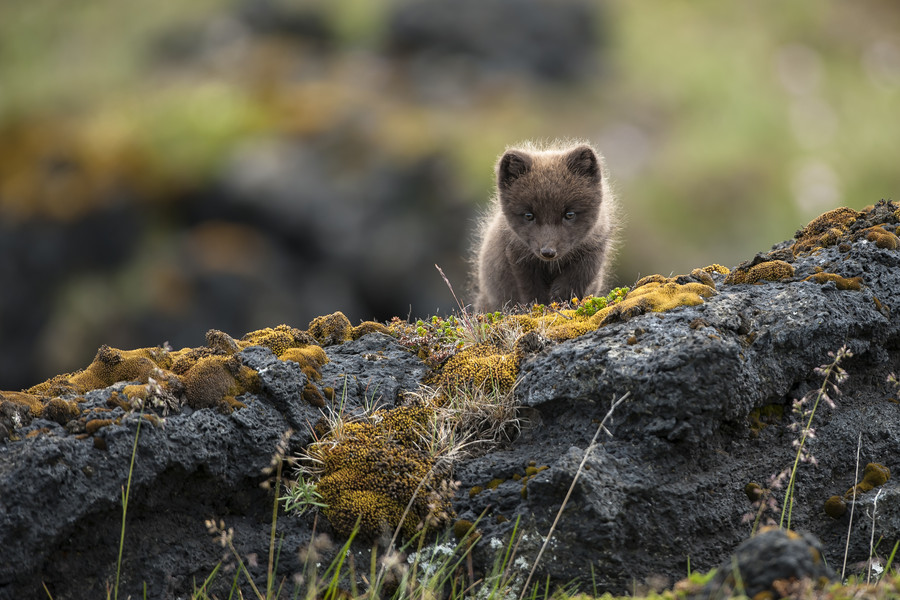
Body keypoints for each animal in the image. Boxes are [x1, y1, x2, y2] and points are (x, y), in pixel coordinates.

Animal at [473, 140, 618, 312]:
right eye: (529, 215)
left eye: (569, 214)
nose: (548, 252)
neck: (551, 265)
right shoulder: (518, 258)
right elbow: (532, 292)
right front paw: (540, 309)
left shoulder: (592, 251)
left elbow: (572, 283)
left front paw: (562, 304)